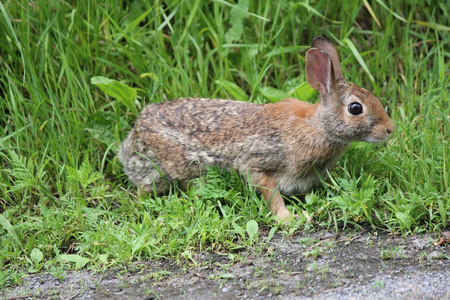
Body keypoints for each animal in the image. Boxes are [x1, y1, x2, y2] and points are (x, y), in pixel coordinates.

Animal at [118, 37, 394, 220]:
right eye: (355, 108)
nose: (390, 129)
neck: (317, 127)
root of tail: (131, 142)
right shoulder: (261, 164)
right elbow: (270, 194)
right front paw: (289, 218)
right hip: (162, 170)